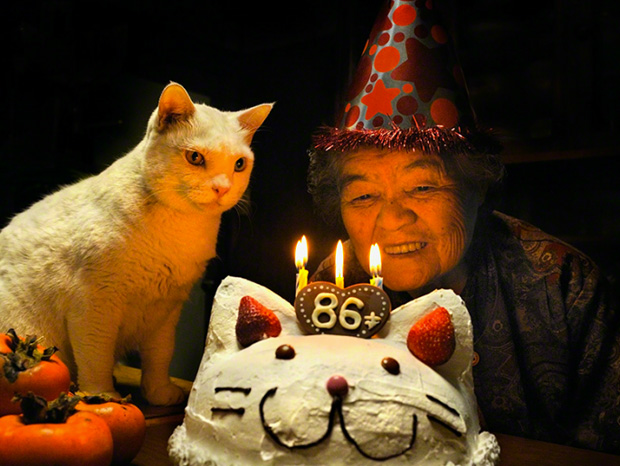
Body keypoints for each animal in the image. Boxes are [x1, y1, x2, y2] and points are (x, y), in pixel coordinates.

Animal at [0, 82, 272, 406]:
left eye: (239, 164)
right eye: (195, 158)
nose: (222, 188)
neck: (179, 230)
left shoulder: (167, 311)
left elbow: (160, 356)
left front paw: (159, 393)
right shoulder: (93, 305)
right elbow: (96, 357)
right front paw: (101, 394)